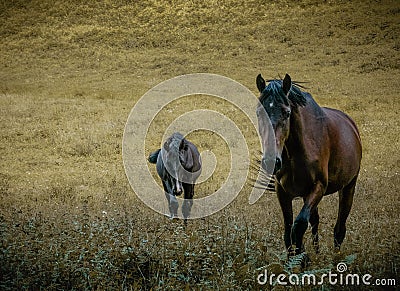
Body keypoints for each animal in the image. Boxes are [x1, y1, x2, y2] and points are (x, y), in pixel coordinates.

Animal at [256, 73, 362, 264]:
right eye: (259, 113)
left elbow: (298, 227)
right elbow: (288, 232)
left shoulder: (318, 187)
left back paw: (336, 259)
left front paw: (302, 262)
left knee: (339, 229)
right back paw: (317, 252)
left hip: (348, 187)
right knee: (315, 221)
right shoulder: (283, 192)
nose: (271, 161)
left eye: (287, 113)